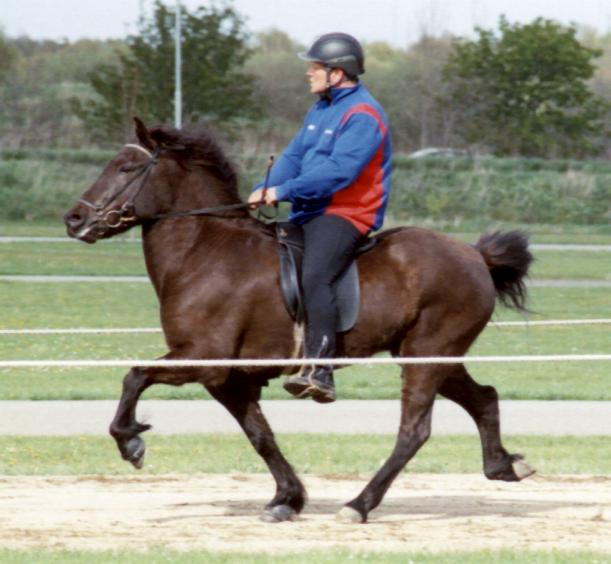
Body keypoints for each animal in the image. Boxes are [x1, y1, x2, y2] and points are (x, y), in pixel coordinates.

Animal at [64, 119, 536, 524]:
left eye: (126, 167)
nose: (74, 219)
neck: (205, 251)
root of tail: (474, 255)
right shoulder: (229, 378)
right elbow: (260, 436)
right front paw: (287, 499)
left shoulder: (203, 358)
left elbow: (135, 375)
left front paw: (131, 440)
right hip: (432, 356)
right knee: (484, 398)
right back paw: (503, 465)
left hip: (427, 357)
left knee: (414, 430)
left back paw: (359, 504)